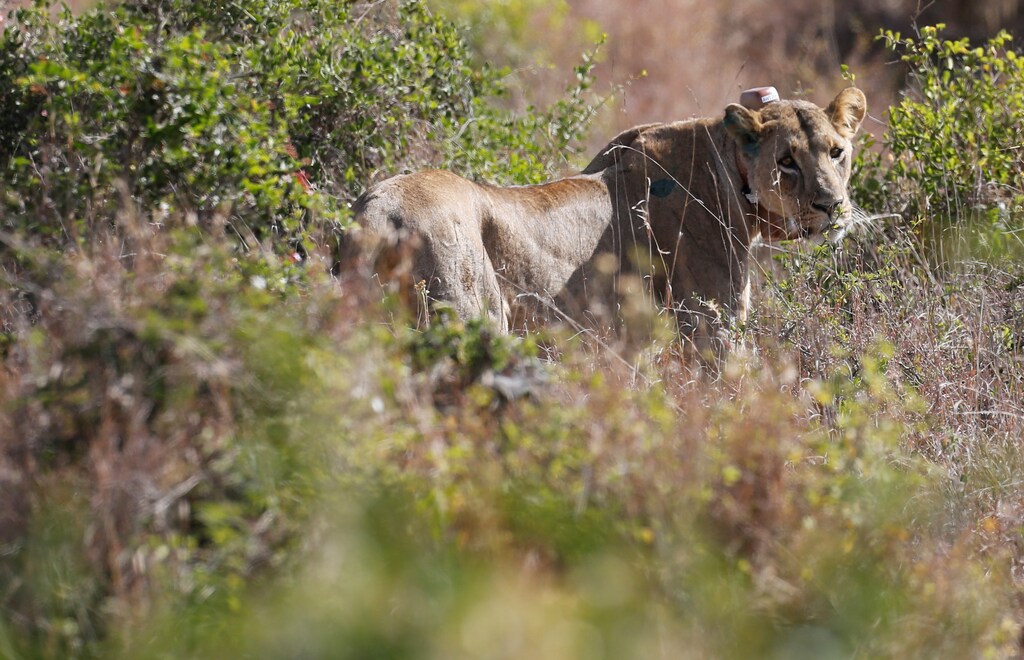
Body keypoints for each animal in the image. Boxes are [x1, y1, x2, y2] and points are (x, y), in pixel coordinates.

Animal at [351, 87, 867, 358]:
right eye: (787, 162)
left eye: (836, 152)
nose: (832, 205)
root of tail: (374, 214)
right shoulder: (708, 328)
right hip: (470, 318)